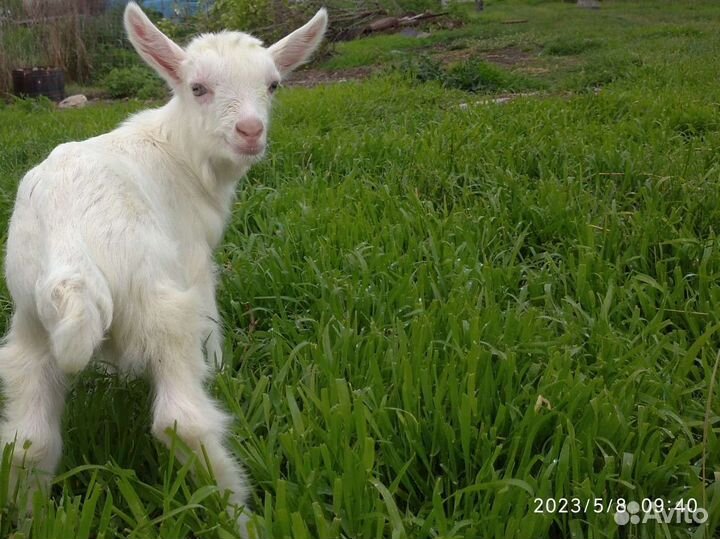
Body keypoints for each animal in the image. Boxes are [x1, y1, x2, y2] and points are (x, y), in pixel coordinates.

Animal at [0, 2, 327, 533]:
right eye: (198, 87)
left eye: (273, 85)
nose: (250, 132)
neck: (177, 150)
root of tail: (72, 258)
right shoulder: (194, 259)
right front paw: (221, 368)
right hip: (160, 302)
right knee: (182, 421)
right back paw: (239, 516)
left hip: (30, 318)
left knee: (27, 441)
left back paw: (31, 522)